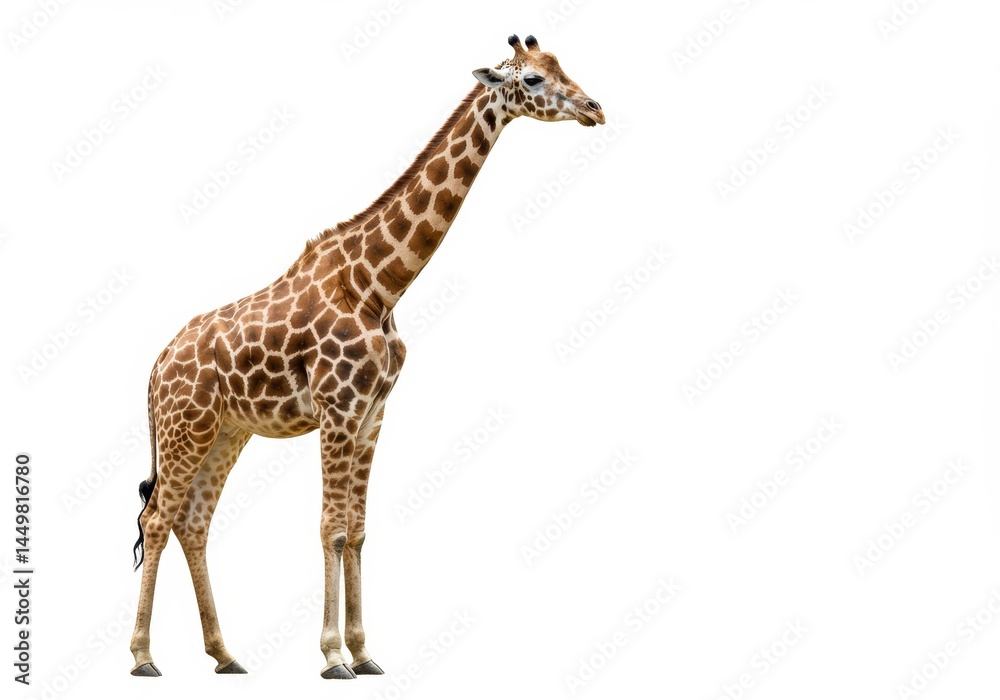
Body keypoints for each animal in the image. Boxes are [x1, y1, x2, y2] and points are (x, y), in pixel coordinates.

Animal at [129, 33, 604, 679]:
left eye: (561, 67)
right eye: (531, 79)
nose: (594, 109)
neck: (380, 285)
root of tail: (155, 367)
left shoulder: (374, 411)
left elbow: (356, 530)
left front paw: (363, 651)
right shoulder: (338, 407)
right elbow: (331, 528)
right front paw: (332, 655)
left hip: (227, 431)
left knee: (192, 521)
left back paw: (225, 654)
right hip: (187, 426)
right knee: (157, 519)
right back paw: (143, 656)